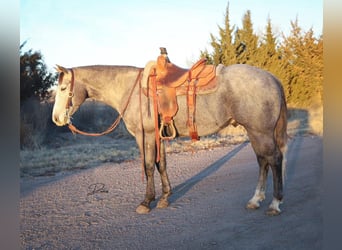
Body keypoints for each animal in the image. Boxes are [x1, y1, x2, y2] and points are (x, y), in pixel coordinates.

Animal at [52, 62, 288, 215]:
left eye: (63, 88)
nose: (56, 118)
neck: (131, 90)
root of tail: (273, 78)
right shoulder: (159, 136)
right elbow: (161, 164)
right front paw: (165, 197)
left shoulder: (145, 135)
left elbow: (148, 166)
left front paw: (146, 202)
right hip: (255, 131)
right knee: (263, 161)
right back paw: (255, 200)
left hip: (260, 131)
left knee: (274, 159)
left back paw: (275, 203)